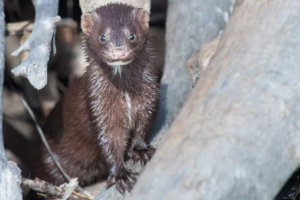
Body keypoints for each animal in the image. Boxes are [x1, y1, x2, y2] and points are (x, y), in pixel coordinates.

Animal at [33, 2, 161, 194]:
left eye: (131, 35)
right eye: (102, 37)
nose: (118, 51)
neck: (125, 94)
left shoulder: (149, 95)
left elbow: (144, 124)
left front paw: (140, 150)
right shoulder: (97, 105)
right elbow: (109, 141)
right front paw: (121, 175)